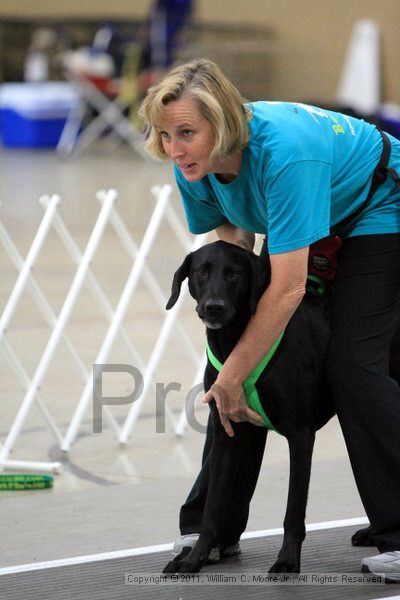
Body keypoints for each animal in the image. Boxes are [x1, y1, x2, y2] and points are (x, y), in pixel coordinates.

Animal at [162, 240, 378, 576]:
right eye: (201, 271)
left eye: (234, 274)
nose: (214, 307)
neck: (238, 341)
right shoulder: (227, 433)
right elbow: (212, 508)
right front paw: (195, 558)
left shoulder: (301, 435)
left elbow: (293, 510)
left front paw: (288, 559)